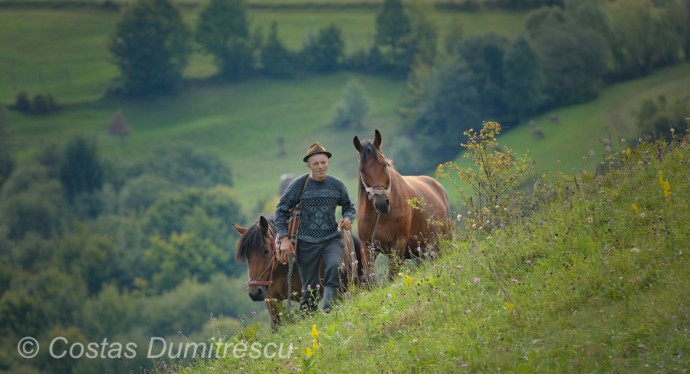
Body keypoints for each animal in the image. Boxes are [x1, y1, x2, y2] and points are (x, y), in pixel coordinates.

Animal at [350, 130, 452, 280]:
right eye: (362, 170)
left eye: (385, 164)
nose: (382, 204)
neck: (380, 218)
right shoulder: (367, 246)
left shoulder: (397, 245)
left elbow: (392, 277)